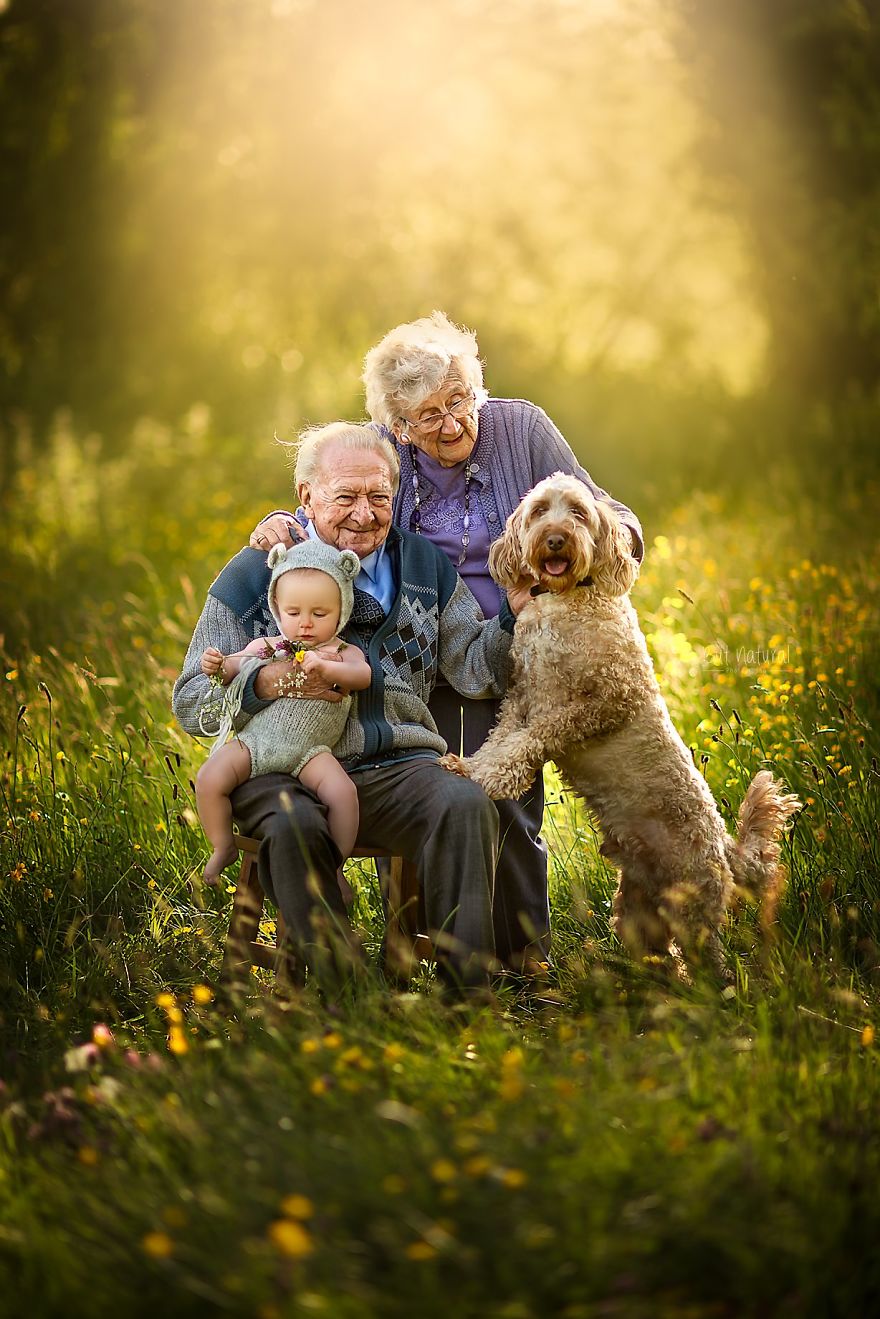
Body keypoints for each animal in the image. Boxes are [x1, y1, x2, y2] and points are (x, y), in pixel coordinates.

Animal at [443, 474, 802, 970]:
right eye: (539, 511)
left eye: (578, 512)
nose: (555, 539)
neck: (565, 599)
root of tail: (725, 847)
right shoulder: (522, 696)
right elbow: (502, 739)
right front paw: (472, 768)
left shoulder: (603, 700)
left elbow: (533, 737)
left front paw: (492, 778)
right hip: (636, 912)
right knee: (663, 959)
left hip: (693, 906)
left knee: (710, 965)